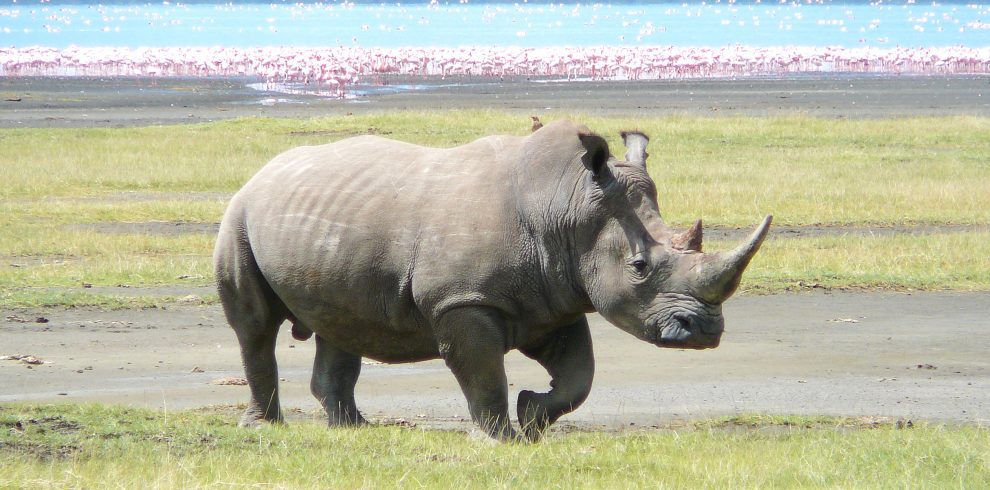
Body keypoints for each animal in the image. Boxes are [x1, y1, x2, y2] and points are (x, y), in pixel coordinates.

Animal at [215, 120, 776, 442]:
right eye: (638, 267)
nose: (705, 332)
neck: (567, 206)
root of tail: (262, 173)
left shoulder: (554, 298)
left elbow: (580, 376)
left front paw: (531, 418)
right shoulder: (464, 300)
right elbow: (483, 372)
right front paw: (498, 439)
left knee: (340, 322)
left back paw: (354, 430)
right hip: (238, 215)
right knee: (255, 328)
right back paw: (265, 426)